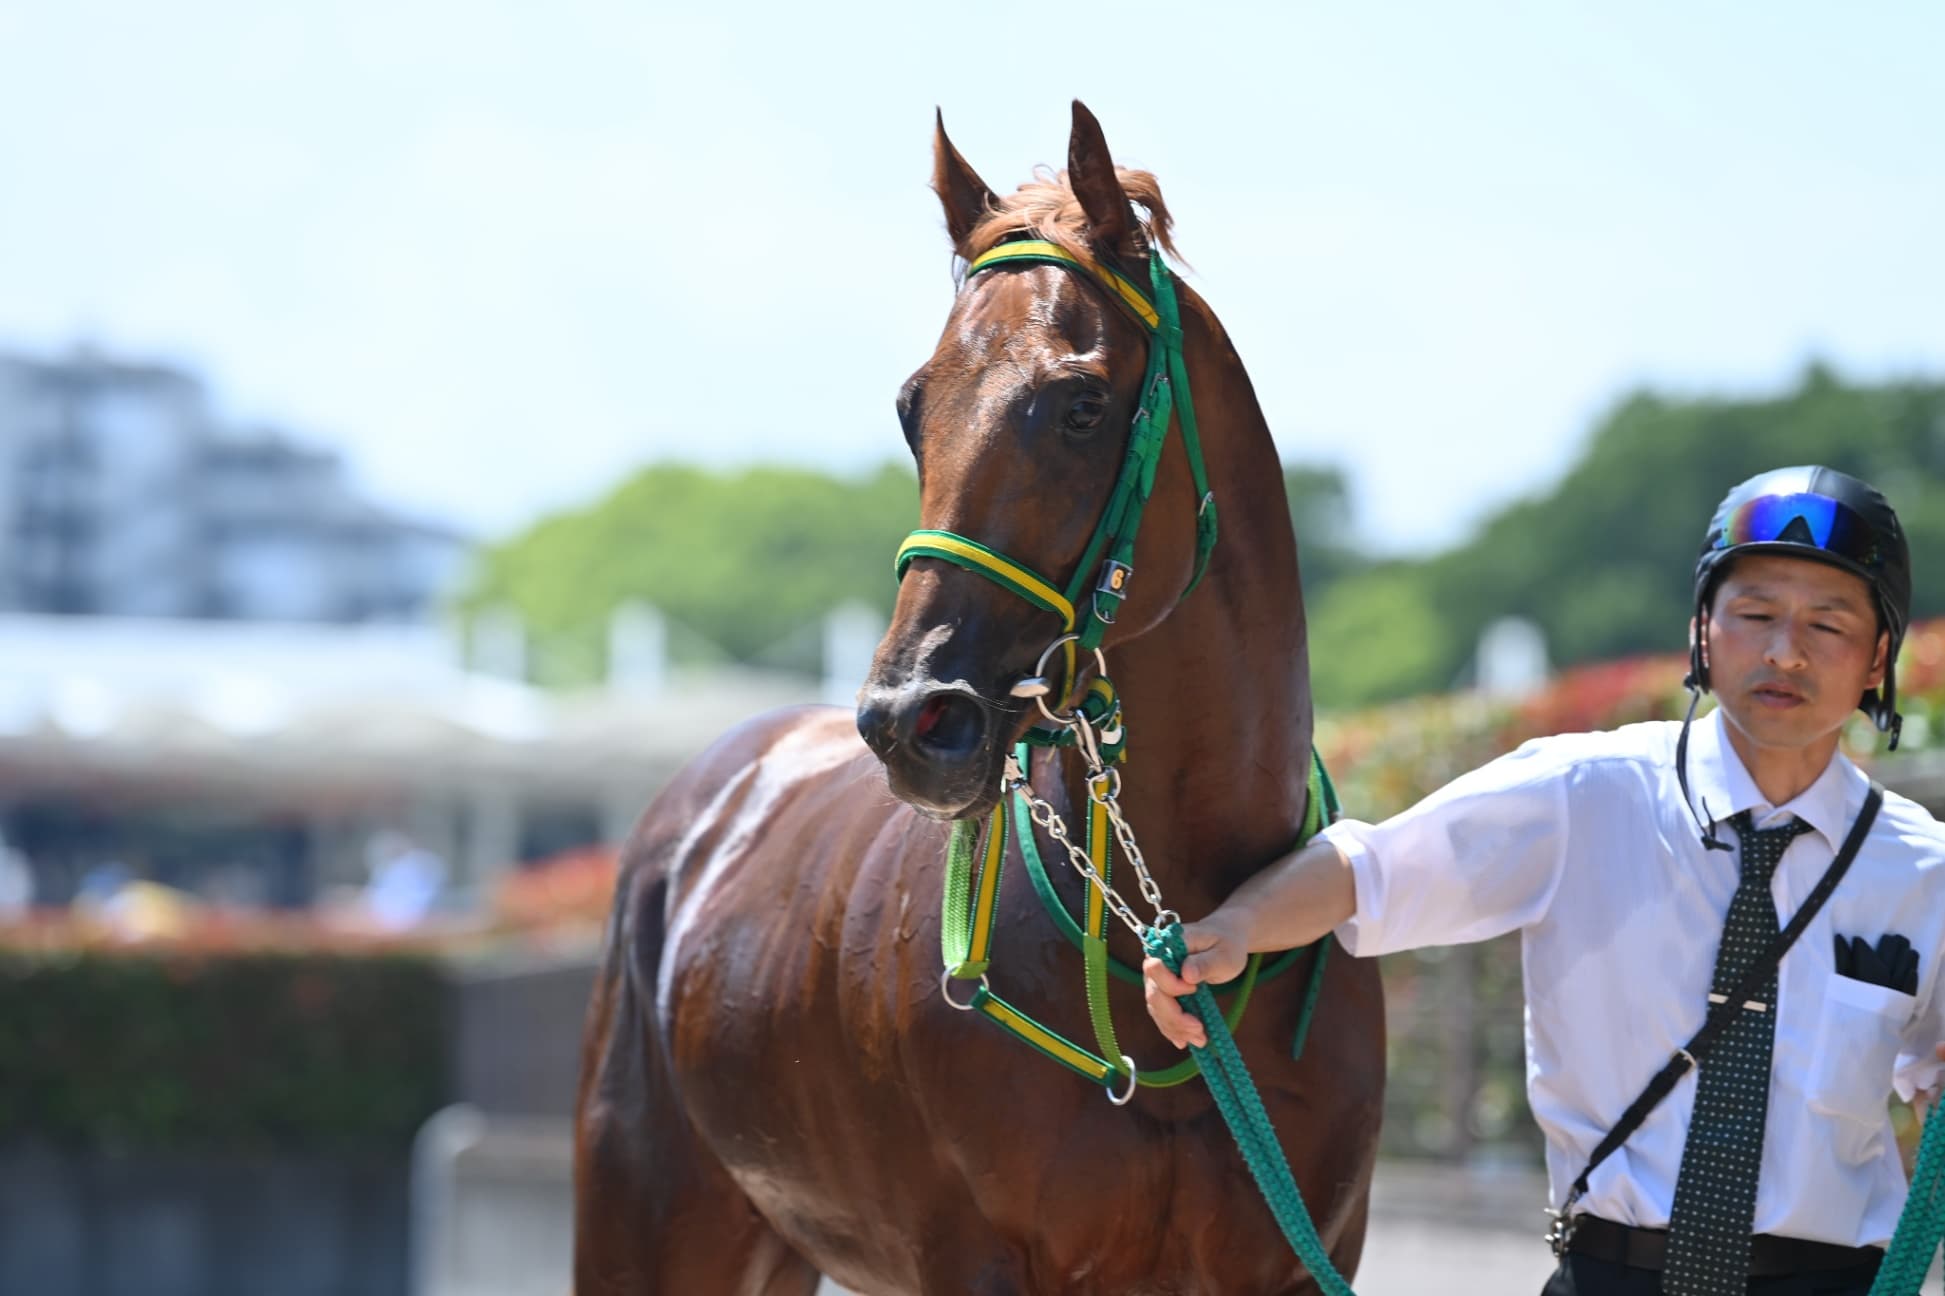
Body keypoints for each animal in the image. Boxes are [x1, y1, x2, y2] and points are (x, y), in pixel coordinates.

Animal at [573, 101, 1386, 1295]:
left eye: (1081, 402)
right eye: (915, 406)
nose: (911, 717)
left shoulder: (1297, 1259)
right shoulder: (976, 1256)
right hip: (647, 1218)